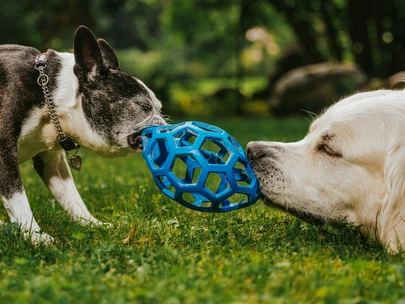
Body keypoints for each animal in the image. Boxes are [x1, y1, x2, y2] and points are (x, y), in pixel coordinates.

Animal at [0, 26, 166, 245]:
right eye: (144, 107)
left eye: (160, 109)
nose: (165, 125)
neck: (48, 92)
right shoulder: (4, 153)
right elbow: (18, 198)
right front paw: (35, 236)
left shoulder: (52, 161)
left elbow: (71, 196)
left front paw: (92, 224)